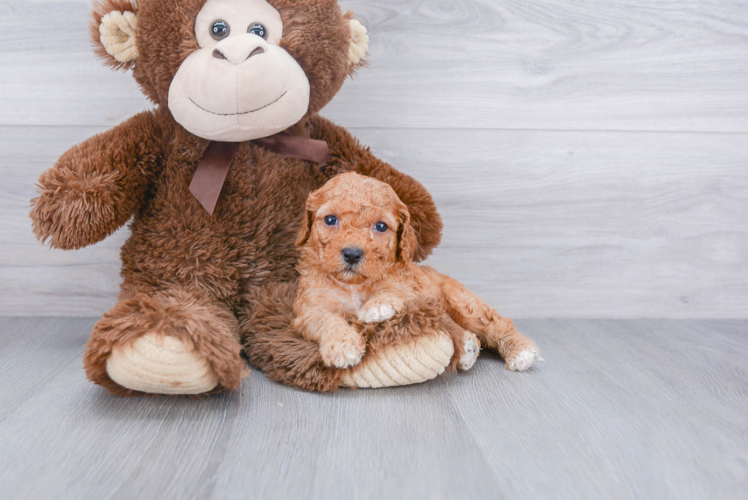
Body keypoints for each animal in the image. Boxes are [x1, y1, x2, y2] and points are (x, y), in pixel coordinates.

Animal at [290, 172, 536, 372]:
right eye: (331, 219)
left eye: (381, 226)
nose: (352, 254)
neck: (354, 284)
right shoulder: (307, 309)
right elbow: (325, 319)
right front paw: (343, 346)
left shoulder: (411, 287)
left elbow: (394, 289)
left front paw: (377, 306)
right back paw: (468, 348)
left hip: (464, 303)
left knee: (497, 324)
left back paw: (521, 351)